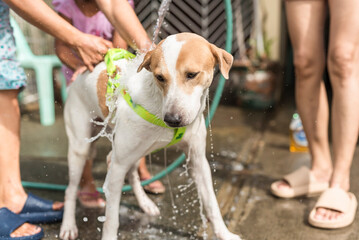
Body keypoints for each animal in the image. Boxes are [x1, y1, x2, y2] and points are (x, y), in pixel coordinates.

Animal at [59, 32, 240, 240]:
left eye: (192, 74)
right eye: (159, 77)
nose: (172, 119)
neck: (158, 104)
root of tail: (78, 77)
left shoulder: (198, 160)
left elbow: (211, 202)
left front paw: (224, 233)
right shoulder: (118, 166)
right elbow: (111, 219)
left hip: (134, 151)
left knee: (124, 168)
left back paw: (145, 204)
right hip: (81, 149)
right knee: (71, 189)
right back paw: (68, 225)